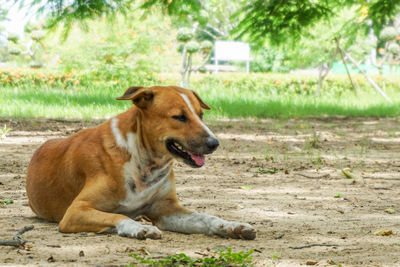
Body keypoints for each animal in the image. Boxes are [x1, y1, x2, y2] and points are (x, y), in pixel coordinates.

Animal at [25, 86, 256, 241]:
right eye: (179, 117)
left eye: (200, 115)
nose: (214, 143)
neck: (142, 160)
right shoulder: (74, 211)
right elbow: (117, 215)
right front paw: (138, 228)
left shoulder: (166, 210)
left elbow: (207, 217)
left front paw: (232, 225)